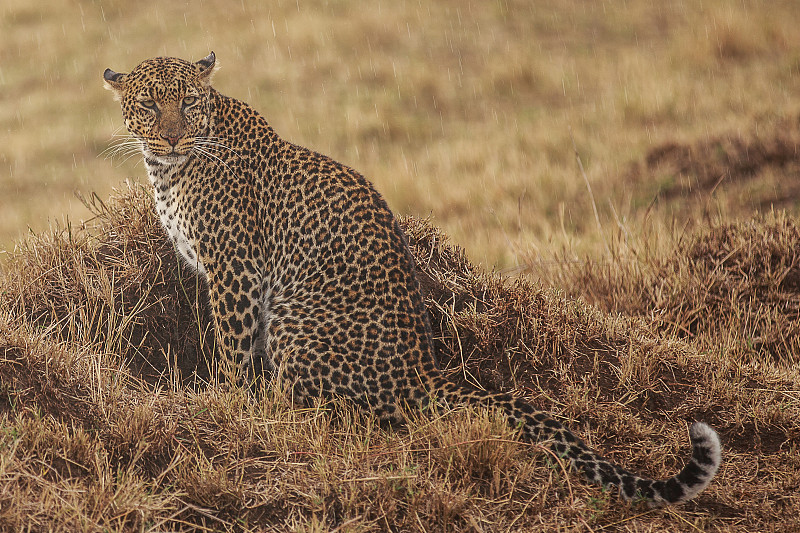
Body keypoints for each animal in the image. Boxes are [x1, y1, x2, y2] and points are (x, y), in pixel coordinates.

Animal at [103, 52, 720, 504]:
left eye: (187, 102)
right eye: (149, 104)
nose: (173, 137)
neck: (169, 169)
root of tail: (425, 367)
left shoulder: (235, 269)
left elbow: (233, 350)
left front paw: (228, 408)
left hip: (295, 319)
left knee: (357, 416)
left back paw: (287, 413)